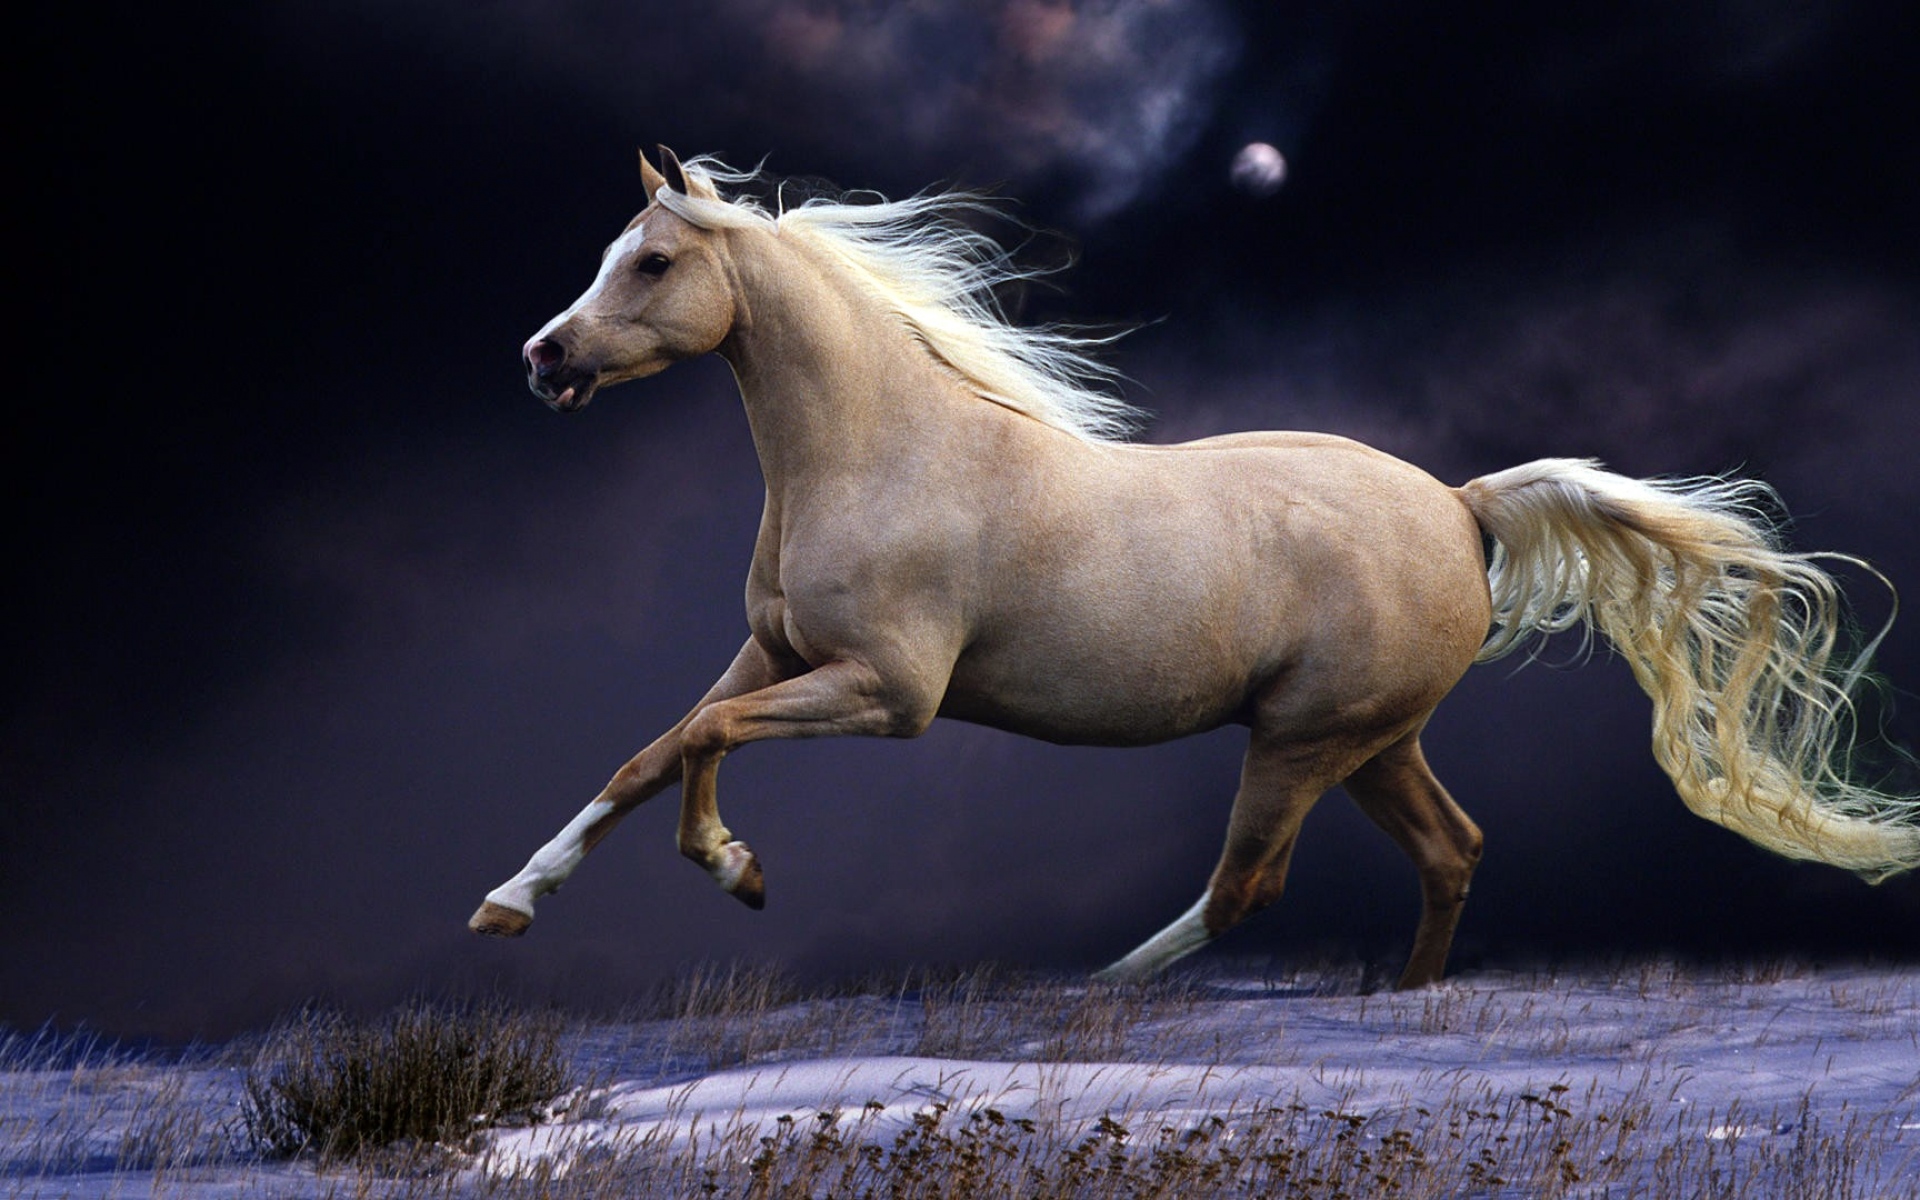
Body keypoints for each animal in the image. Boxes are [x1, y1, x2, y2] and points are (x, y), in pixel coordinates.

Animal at [469, 146, 1919, 988]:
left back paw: (1091, 998)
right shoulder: (775, 651)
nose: (543, 359)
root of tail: (1461, 508)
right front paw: (508, 903)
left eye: (655, 260)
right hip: (1373, 742)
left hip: (1302, 740)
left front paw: (739, 870)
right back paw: (1406, 996)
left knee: (1247, 886)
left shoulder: (887, 694)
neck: (889, 452)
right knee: (1450, 850)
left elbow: (704, 744)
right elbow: (651, 752)